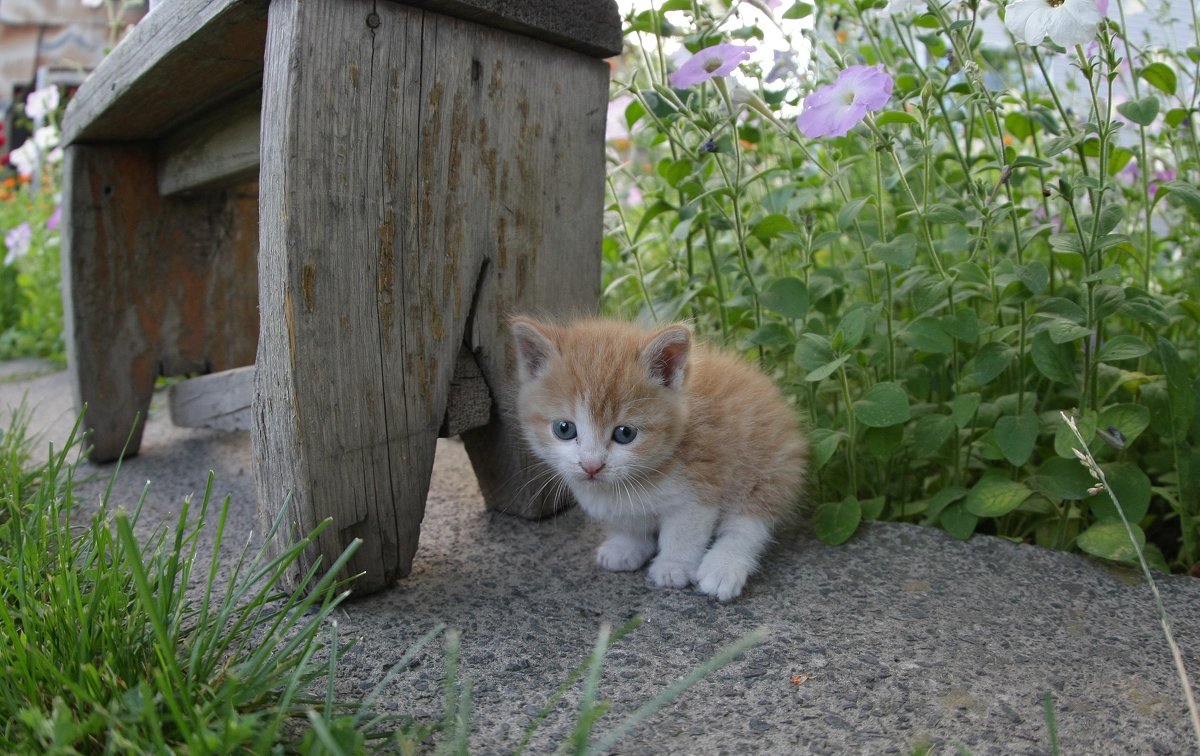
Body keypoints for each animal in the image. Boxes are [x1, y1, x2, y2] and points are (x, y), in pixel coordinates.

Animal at [511, 316, 811, 602]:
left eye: (625, 434)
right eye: (564, 429)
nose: (592, 466)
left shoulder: (700, 487)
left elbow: (684, 533)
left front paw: (673, 566)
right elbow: (626, 523)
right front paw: (626, 546)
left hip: (766, 468)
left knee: (747, 527)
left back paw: (722, 568)